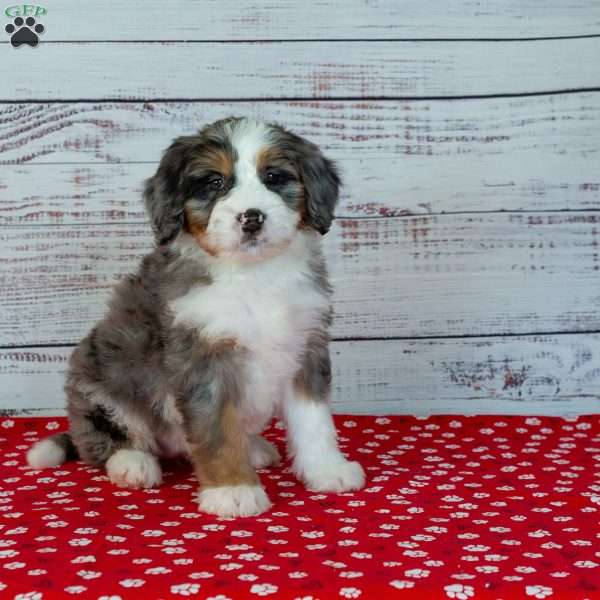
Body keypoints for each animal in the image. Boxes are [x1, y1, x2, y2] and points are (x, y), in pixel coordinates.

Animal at [25, 116, 366, 516]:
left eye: (273, 177)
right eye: (215, 182)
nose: (252, 218)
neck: (253, 274)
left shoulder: (307, 345)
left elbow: (315, 421)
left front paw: (328, 470)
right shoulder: (202, 357)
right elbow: (217, 429)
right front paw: (233, 489)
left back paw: (253, 448)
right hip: (98, 383)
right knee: (107, 438)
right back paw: (133, 463)